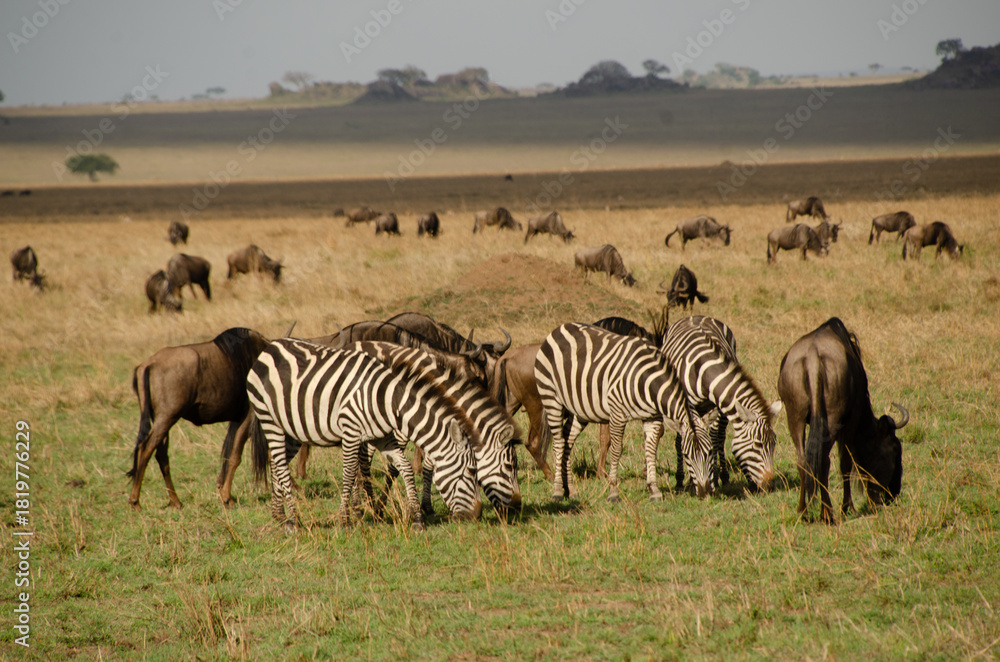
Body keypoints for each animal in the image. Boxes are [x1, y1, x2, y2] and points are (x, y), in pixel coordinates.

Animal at [247, 338, 482, 530]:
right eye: (472, 471)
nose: (478, 514)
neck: (387, 400)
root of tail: (270, 348)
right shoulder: (351, 431)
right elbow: (350, 472)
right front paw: (346, 519)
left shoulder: (383, 437)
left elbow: (404, 467)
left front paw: (416, 518)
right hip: (269, 419)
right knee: (280, 465)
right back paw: (294, 520)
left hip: (293, 428)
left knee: (277, 463)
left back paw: (279, 516)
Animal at [345, 340, 521, 515]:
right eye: (509, 466)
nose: (517, 506)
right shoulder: (405, 427)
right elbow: (394, 467)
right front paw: (381, 505)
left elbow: (430, 466)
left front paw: (427, 506)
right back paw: (358, 504)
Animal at [534, 322, 717, 501]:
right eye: (686, 456)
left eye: (709, 452)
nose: (705, 493)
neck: (646, 380)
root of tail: (559, 328)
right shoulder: (617, 414)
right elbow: (616, 450)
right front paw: (613, 492)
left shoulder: (653, 417)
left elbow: (651, 450)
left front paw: (654, 490)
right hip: (551, 398)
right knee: (558, 443)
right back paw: (558, 491)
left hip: (579, 410)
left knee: (567, 441)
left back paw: (571, 490)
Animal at [660, 316, 783, 492]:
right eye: (757, 445)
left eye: (773, 444)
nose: (769, 486)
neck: (703, 370)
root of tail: (695, 316)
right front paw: (694, 481)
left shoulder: (719, 405)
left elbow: (714, 439)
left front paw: (715, 478)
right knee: (679, 439)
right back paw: (680, 479)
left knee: (719, 436)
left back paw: (723, 476)